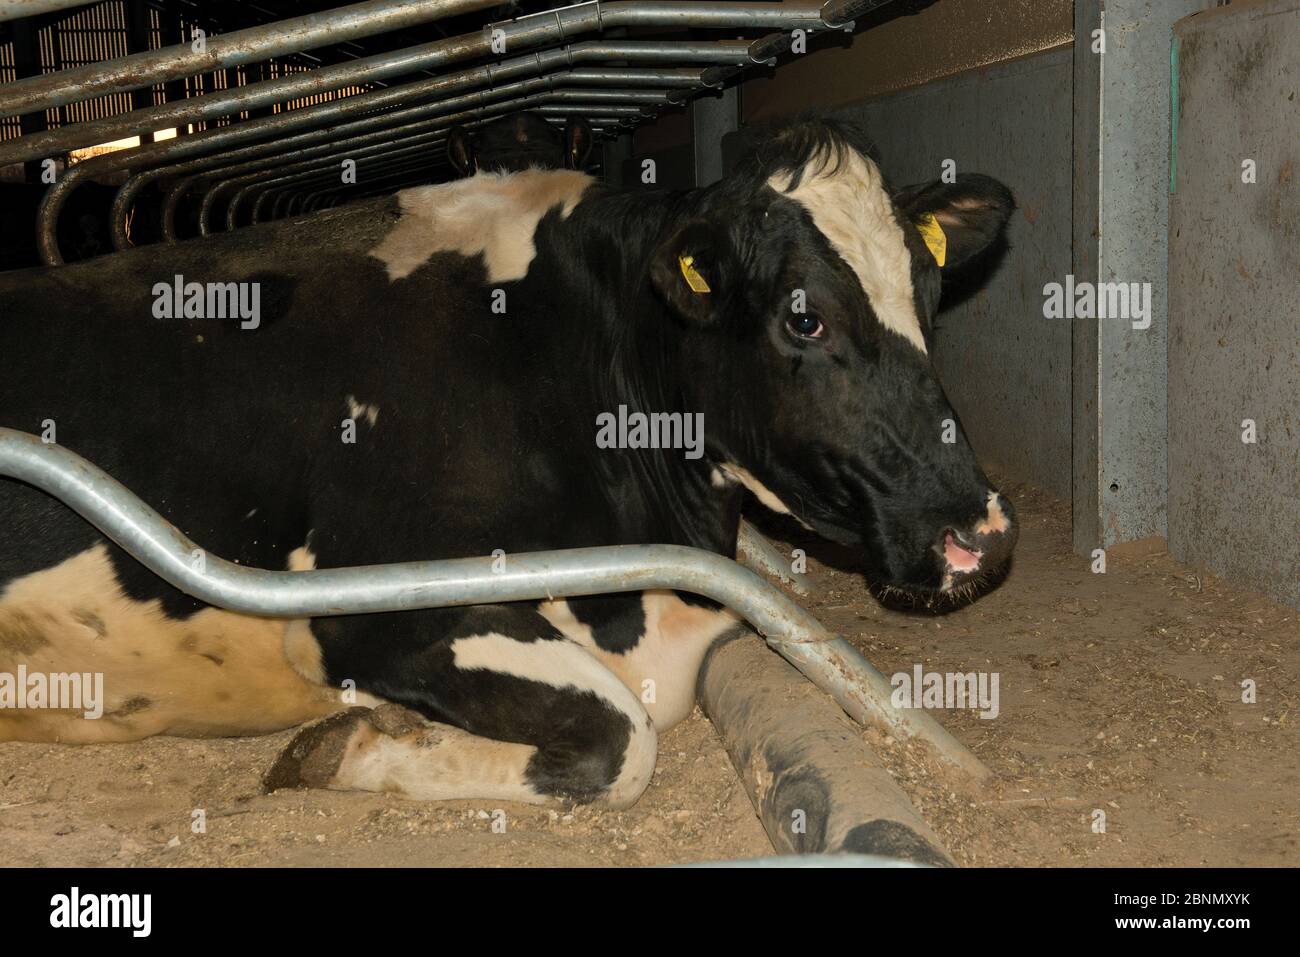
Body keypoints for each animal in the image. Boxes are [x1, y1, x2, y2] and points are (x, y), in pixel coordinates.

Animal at [0, 118, 1016, 810]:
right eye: (804, 317)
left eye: (929, 292)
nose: (979, 531)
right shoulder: (363, 604)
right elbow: (622, 737)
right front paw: (347, 749)